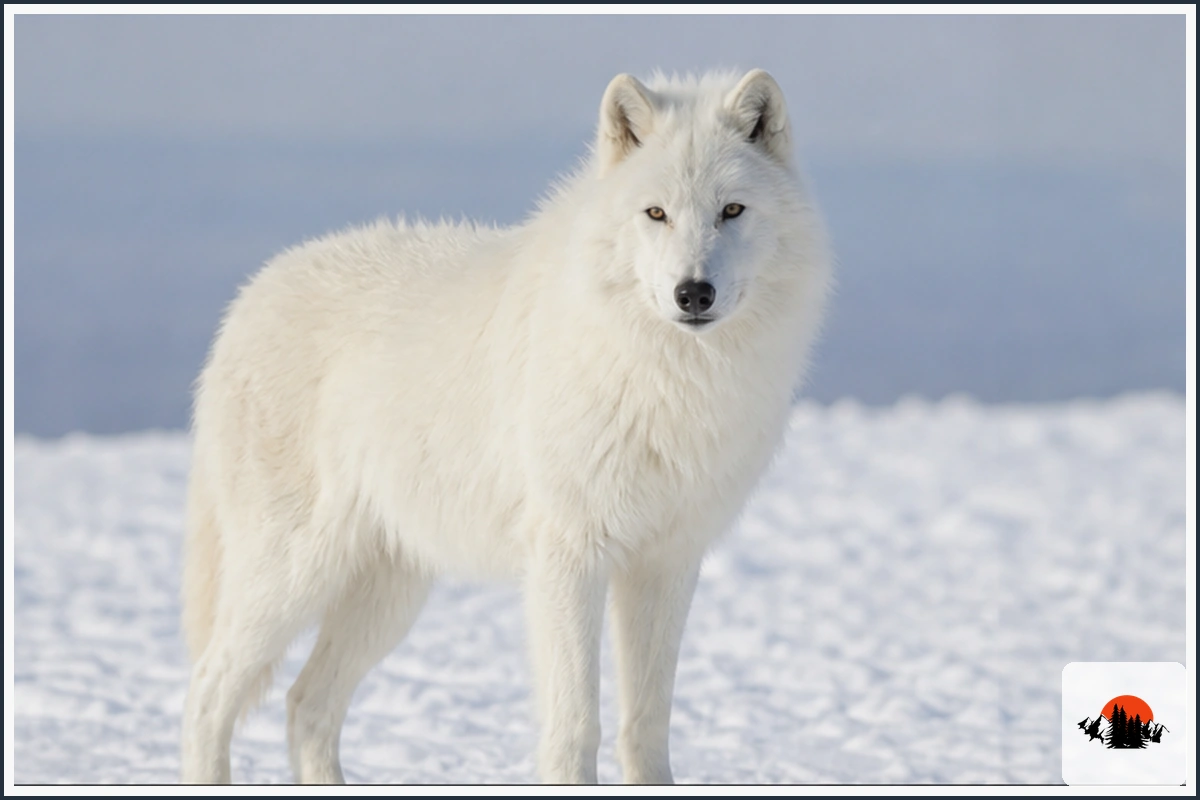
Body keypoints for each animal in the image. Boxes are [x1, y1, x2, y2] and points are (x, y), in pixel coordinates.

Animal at [180, 68, 833, 784]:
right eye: (656, 213)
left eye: (732, 211)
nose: (693, 293)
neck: (671, 380)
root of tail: (245, 301)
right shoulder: (568, 557)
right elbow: (576, 727)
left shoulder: (666, 563)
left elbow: (646, 725)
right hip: (293, 576)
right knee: (206, 694)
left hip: (388, 598)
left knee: (305, 705)